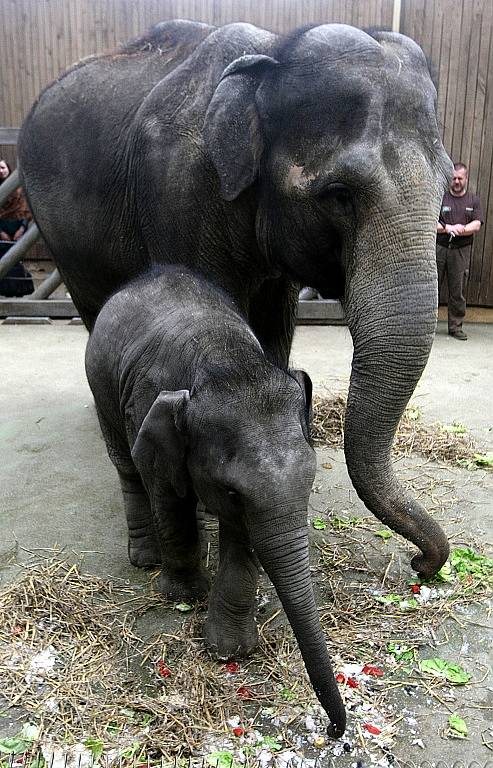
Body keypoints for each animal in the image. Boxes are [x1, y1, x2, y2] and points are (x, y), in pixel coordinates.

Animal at [18, 21, 450, 576]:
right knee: (94, 310)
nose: (418, 565)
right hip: (57, 236)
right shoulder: (176, 189)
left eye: (448, 187)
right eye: (339, 195)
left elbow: (273, 327)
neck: (271, 54)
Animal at [85, 266, 346, 736]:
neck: (224, 359)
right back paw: (146, 559)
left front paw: (230, 651)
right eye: (232, 491)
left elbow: (243, 537)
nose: (335, 730)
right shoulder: (146, 411)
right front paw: (186, 595)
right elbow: (166, 496)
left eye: (311, 479)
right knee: (127, 467)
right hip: (102, 389)